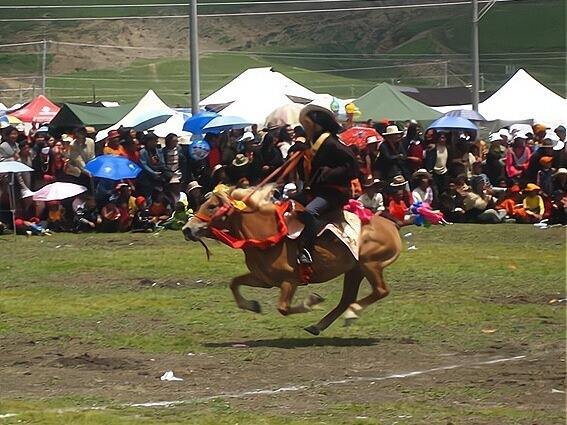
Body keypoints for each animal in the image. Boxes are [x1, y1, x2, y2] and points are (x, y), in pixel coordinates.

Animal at [183, 186, 404, 334]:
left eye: (212, 206)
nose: (187, 229)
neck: (267, 233)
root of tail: (391, 225)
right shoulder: (264, 279)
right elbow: (234, 283)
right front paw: (252, 305)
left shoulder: (290, 281)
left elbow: (283, 308)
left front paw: (311, 301)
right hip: (354, 270)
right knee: (347, 299)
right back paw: (318, 325)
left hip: (369, 265)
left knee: (380, 291)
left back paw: (351, 314)